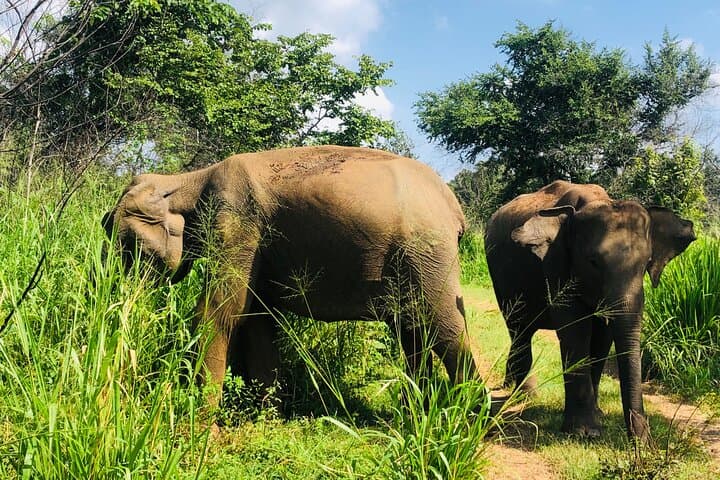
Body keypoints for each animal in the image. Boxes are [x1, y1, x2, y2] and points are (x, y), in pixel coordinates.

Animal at [103, 145, 478, 411]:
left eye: (129, 246)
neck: (187, 180)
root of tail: (454, 206)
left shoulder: (236, 221)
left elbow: (222, 312)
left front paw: (199, 419)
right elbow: (258, 317)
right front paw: (266, 412)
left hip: (427, 250)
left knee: (444, 327)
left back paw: (471, 416)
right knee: (413, 330)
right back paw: (418, 411)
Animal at [484, 180, 696, 441]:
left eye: (647, 263)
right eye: (593, 262)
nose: (643, 443)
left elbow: (603, 337)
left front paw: (598, 416)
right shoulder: (556, 263)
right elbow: (577, 331)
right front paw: (584, 432)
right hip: (502, 280)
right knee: (520, 329)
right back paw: (525, 396)